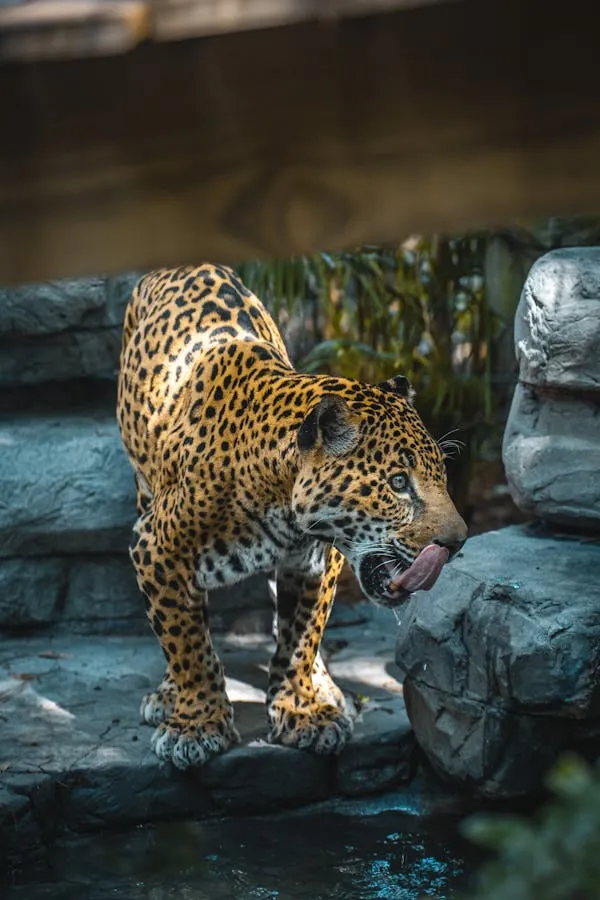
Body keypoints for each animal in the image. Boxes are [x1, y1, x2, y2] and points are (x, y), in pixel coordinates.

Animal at [117, 263, 467, 770]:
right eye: (399, 483)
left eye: (440, 474)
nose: (458, 542)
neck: (277, 500)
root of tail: (180, 265)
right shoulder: (155, 549)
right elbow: (186, 642)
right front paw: (196, 724)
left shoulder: (316, 562)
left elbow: (302, 634)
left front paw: (303, 710)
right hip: (143, 488)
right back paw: (167, 694)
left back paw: (326, 688)